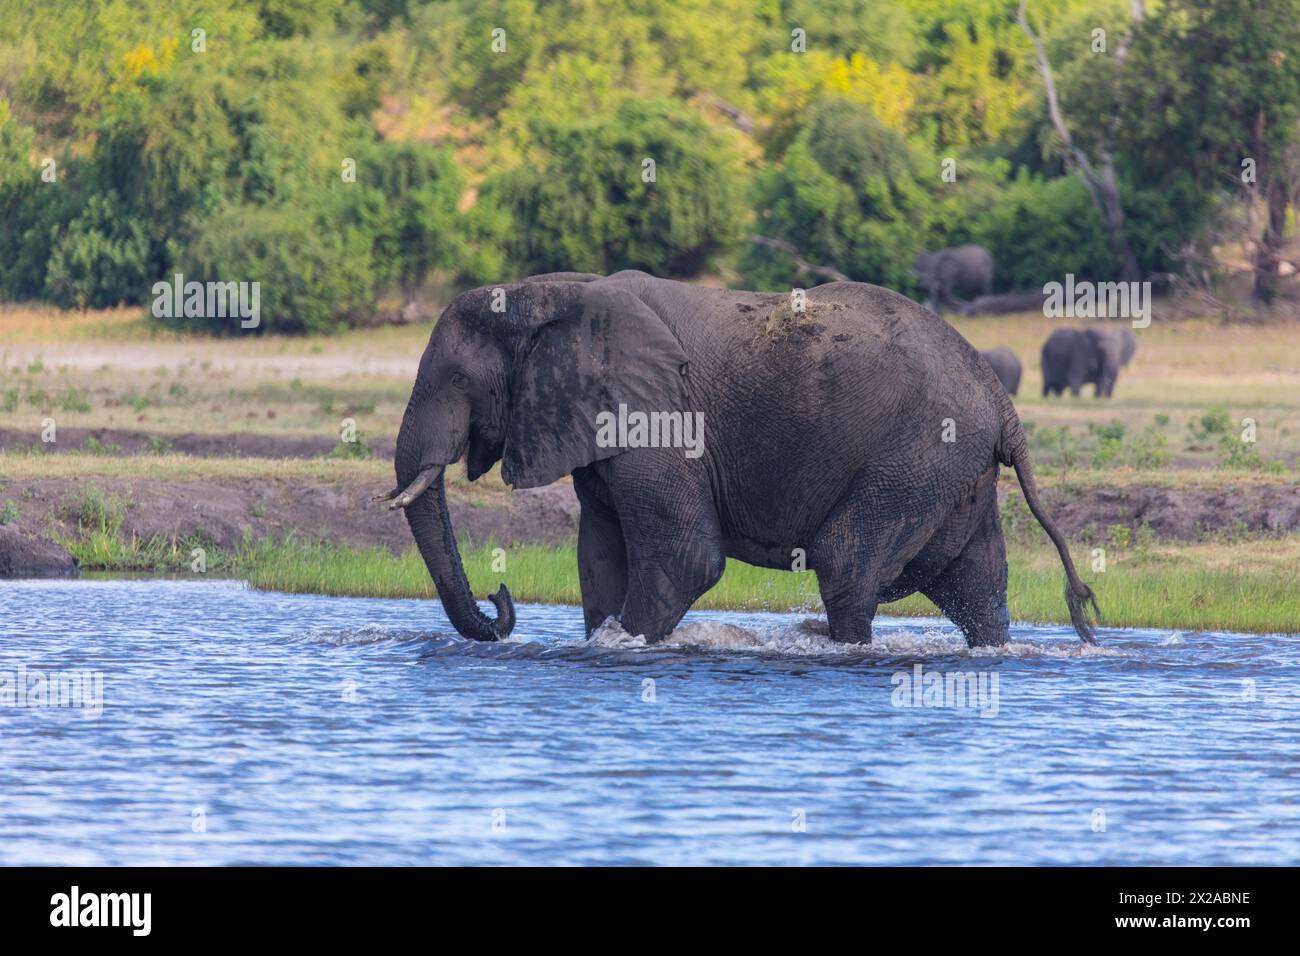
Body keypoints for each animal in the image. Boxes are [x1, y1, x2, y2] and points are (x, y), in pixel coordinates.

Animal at [379, 269, 1102, 650]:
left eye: (458, 381)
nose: (500, 596)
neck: (551, 292)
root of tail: (1000, 400)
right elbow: (601, 555)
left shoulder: (658, 418)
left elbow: (684, 558)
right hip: (952, 470)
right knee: (975, 584)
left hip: (918, 455)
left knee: (846, 562)